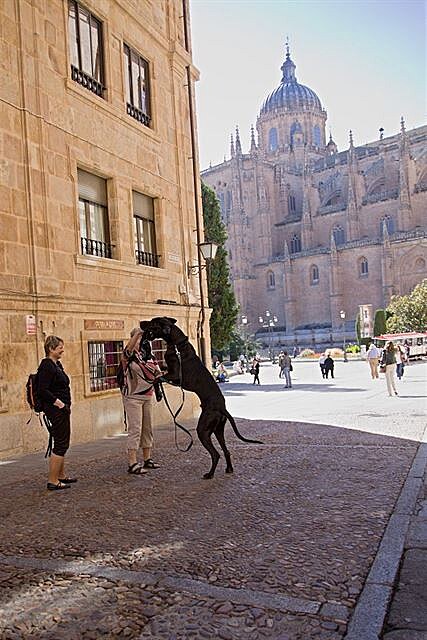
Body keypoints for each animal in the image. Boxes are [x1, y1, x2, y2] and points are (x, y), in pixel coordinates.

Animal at [140, 318, 262, 478]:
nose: (140, 323)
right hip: (218, 430)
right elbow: (158, 373)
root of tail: (222, 408)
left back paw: (210, 474)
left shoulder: (176, 376)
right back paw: (229, 469)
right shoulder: (169, 372)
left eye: (153, 322)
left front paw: (159, 394)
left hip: (203, 430)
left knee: (216, 454)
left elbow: (157, 378)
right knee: (226, 450)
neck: (177, 344)